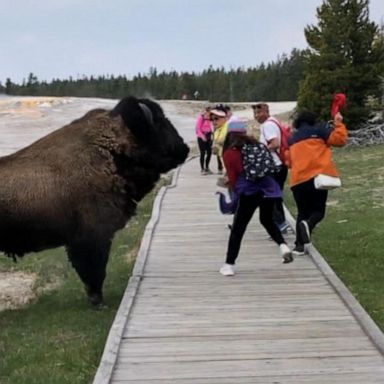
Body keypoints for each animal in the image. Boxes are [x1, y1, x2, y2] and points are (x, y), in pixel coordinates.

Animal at [0, 96, 189, 306]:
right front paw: (98, 301)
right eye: (160, 123)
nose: (184, 147)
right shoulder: (93, 237)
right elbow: (94, 271)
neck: (110, 150)